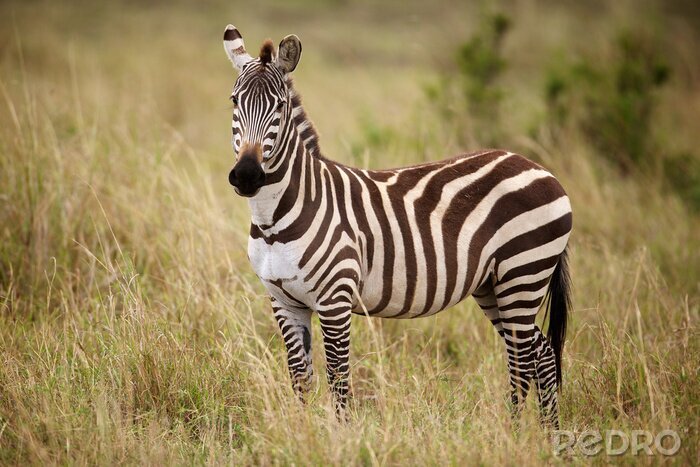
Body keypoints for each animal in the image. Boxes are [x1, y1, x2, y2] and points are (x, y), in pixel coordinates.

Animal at [222, 25, 573, 427]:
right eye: (234, 101)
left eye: (279, 106)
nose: (247, 176)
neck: (274, 222)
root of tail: (539, 167)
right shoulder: (283, 300)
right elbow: (301, 377)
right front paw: (303, 431)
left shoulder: (335, 299)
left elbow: (338, 378)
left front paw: (340, 435)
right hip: (494, 285)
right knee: (541, 354)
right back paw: (547, 435)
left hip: (523, 273)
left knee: (521, 361)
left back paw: (514, 433)